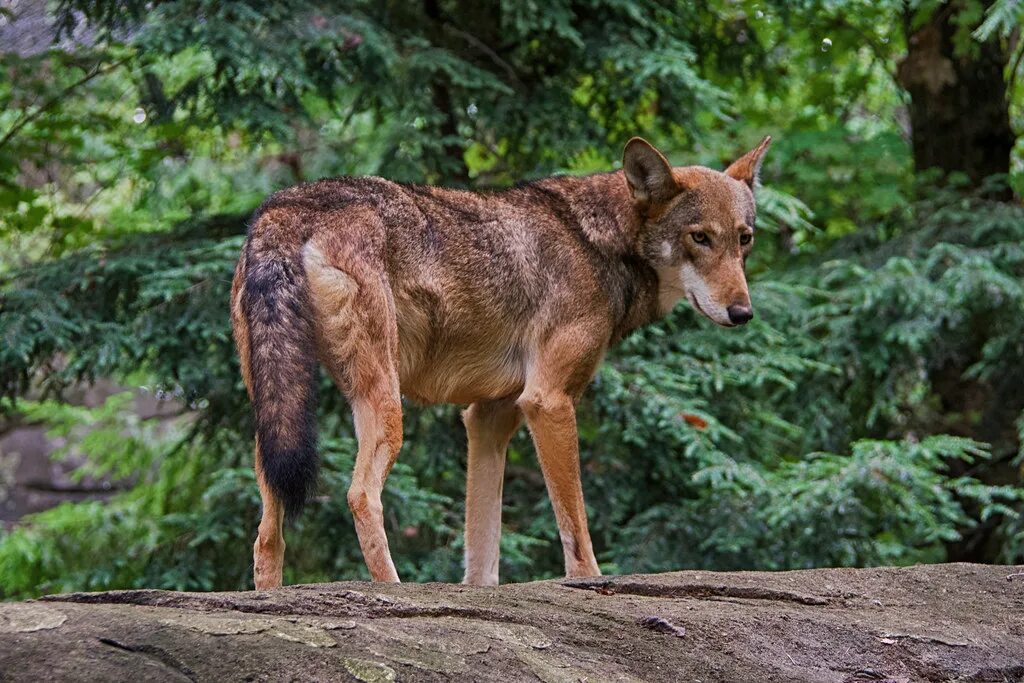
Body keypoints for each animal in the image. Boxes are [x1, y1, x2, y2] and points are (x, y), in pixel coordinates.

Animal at [232, 135, 770, 589]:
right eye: (700, 238)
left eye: (743, 238)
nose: (742, 313)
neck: (596, 240)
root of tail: (286, 209)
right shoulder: (547, 402)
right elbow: (576, 534)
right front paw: (591, 585)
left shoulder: (489, 417)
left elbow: (483, 551)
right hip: (383, 407)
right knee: (360, 494)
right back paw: (393, 590)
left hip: (276, 418)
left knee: (266, 534)